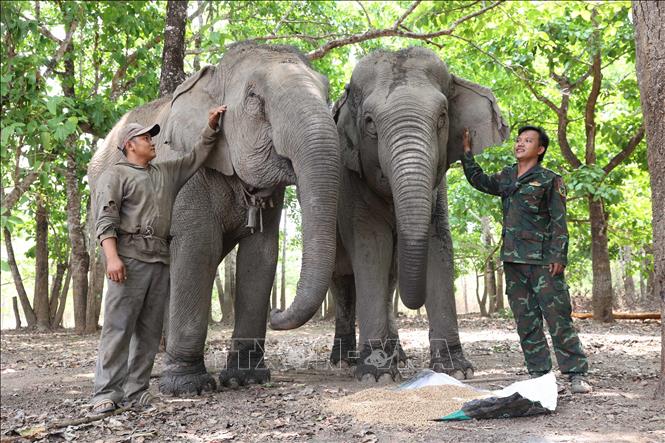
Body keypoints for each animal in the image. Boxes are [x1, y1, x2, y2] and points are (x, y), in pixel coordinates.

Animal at [89, 42, 340, 395]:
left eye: (328, 91)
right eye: (254, 97)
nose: (277, 311)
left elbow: (260, 255)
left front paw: (245, 378)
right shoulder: (187, 176)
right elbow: (198, 248)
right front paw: (188, 387)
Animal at [271, 47, 509, 382]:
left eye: (442, 117)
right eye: (370, 122)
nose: (273, 312)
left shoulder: (437, 192)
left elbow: (438, 246)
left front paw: (455, 369)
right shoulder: (351, 184)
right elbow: (372, 247)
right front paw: (375, 373)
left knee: (391, 281)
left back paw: (399, 355)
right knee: (343, 282)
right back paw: (345, 360)